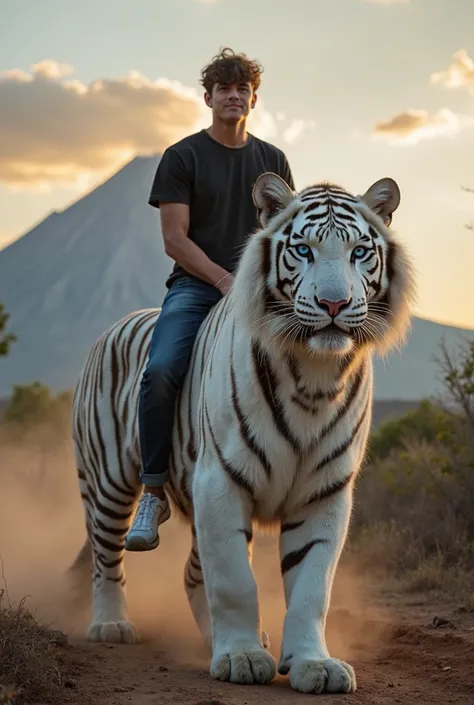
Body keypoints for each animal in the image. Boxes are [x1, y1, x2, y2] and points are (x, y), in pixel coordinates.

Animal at [67, 172, 414, 692]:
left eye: (359, 252)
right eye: (304, 250)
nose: (334, 303)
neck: (315, 377)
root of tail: (115, 325)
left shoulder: (326, 491)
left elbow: (311, 587)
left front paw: (313, 664)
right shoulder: (220, 482)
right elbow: (234, 579)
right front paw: (243, 658)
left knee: (192, 573)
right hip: (108, 480)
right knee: (107, 557)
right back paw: (111, 625)